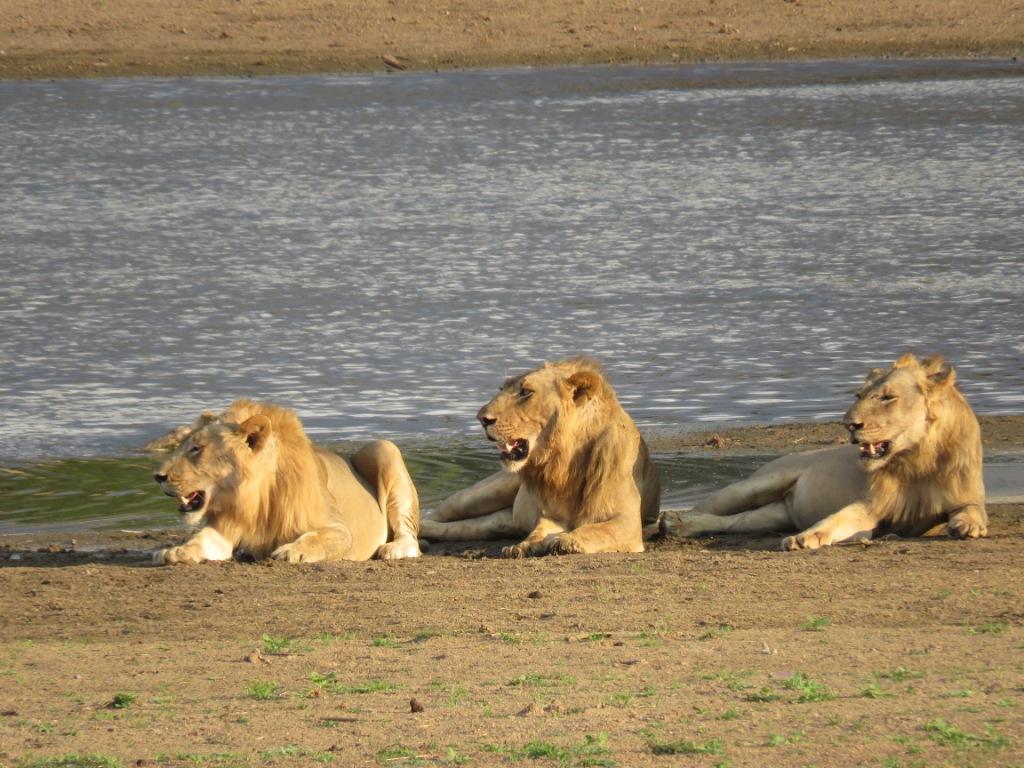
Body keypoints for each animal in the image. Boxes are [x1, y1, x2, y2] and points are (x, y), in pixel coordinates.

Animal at [152, 403, 423, 565]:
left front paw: (291, 551)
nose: (158, 476)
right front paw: (175, 551)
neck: (257, 498)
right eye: (183, 445)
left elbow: (318, 538)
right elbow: (202, 539)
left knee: (409, 535)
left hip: (384, 448)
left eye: (196, 448)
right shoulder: (225, 527)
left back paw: (396, 548)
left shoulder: (339, 529)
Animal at [417, 358, 663, 557]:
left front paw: (567, 541)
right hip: (479, 495)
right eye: (501, 388)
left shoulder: (628, 521)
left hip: (495, 521)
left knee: (463, 528)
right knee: (435, 515)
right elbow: (540, 530)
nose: (482, 419)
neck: (563, 462)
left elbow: (598, 530)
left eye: (525, 392)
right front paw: (525, 546)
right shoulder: (552, 515)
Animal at [659, 358, 987, 548]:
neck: (916, 458)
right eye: (859, 395)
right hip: (757, 484)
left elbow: (973, 510)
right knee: (710, 508)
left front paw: (967, 526)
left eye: (887, 397)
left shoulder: (964, 495)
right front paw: (804, 538)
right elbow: (835, 520)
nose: (849, 424)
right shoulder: (870, 505)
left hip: (774, 515)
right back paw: (673, 522)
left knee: (736, 522)